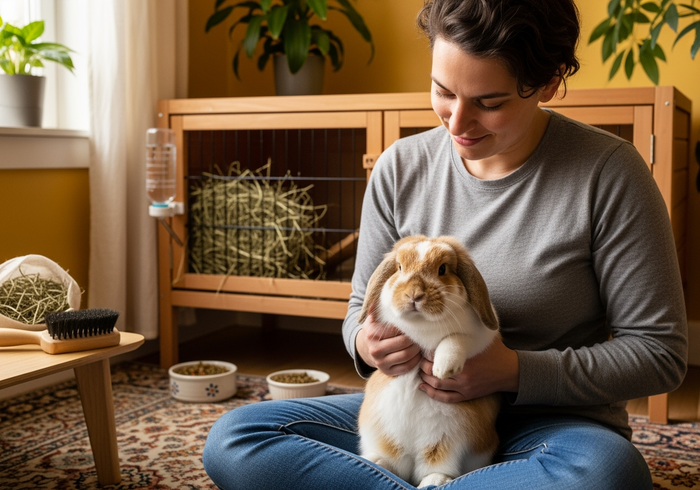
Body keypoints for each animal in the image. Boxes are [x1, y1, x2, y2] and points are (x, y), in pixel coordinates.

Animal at [357, 235, 502, 488]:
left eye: (442, 269)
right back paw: (375, 461)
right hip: (384, 434)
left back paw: (434, 480)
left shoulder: (479, 339)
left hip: (448, 440)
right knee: (394, 464)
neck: (421, 325)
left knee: (436, 465)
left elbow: (456, 339)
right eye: (400, 267)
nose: (414, 295)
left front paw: (443, 368)